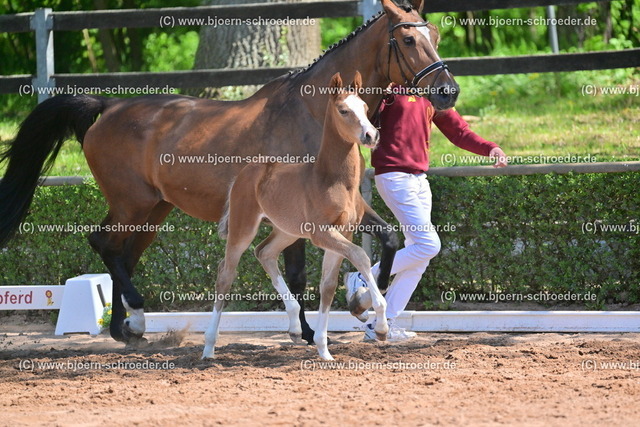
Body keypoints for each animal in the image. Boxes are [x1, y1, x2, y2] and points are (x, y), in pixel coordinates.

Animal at [204, 71, 385, 360]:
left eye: (366, 108)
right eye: (343, 110)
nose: (371, 135)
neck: (333, 179)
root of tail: (244, 173)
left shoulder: (343, 232)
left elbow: (328, 285)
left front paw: (324, 349)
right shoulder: (321, 233)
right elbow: (360, 256)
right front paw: (381, 323)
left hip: (287, 230)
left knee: (264, 253)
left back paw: (294, 327)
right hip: (243, 228)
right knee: (226, 274)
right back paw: (209, 347)